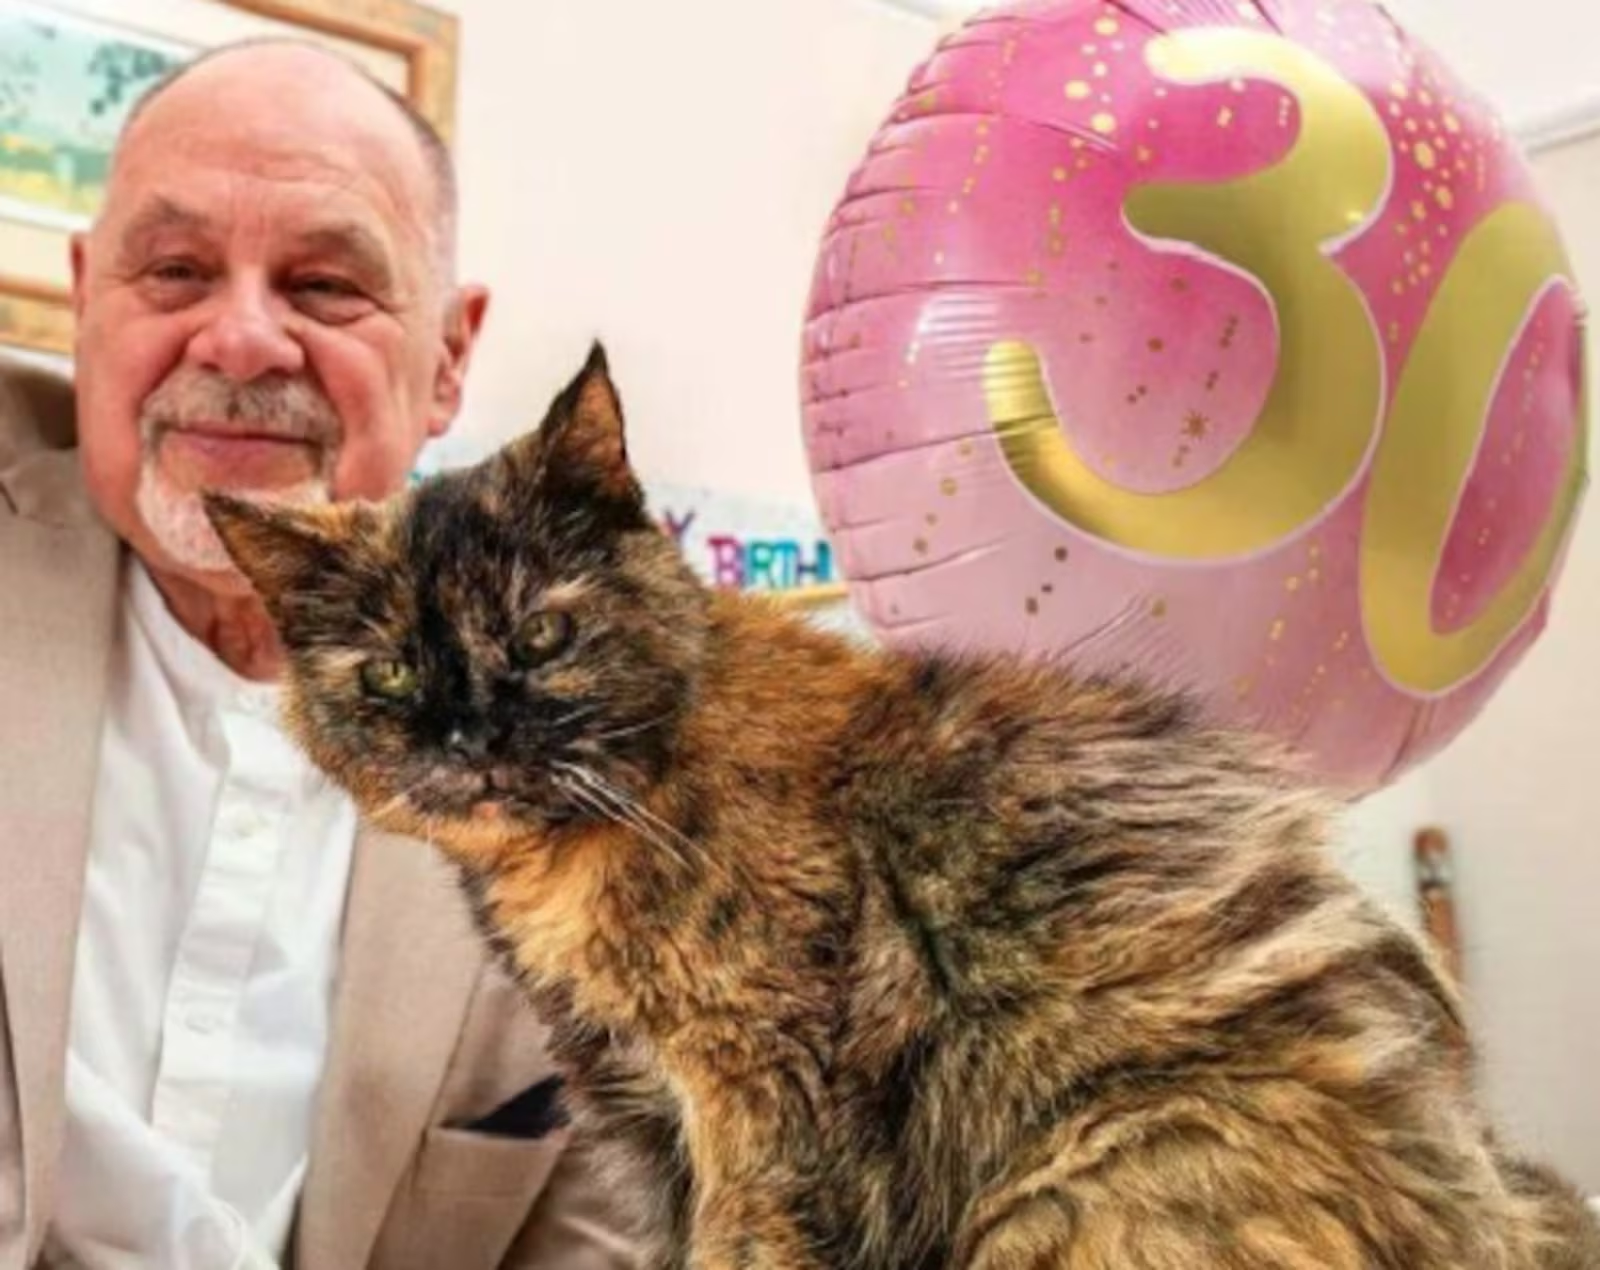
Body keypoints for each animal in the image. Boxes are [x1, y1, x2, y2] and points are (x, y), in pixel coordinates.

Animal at [204, 345, 1600, 1270]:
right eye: (388, 671)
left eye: (542, 635)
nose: (466, 733)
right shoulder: (643, 1118)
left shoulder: (756, 1104)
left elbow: (749, 1251)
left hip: (1086, 1191)